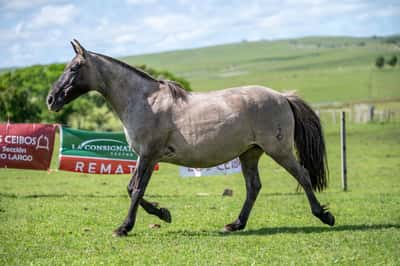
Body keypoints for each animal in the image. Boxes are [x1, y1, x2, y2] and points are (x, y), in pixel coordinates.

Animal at [47, 40, 334, 237]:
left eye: (74, 67)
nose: (51, 99)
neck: (144, 100)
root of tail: (283, 97)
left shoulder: (148, 155)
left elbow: (136, 189)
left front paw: (124, 227)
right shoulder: (147, 157)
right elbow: (133, 188)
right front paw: (163, 213)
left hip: (279, 150)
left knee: (303, 176)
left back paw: (324, 216)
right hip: (250, 153)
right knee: (254, 187)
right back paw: (235, 224)